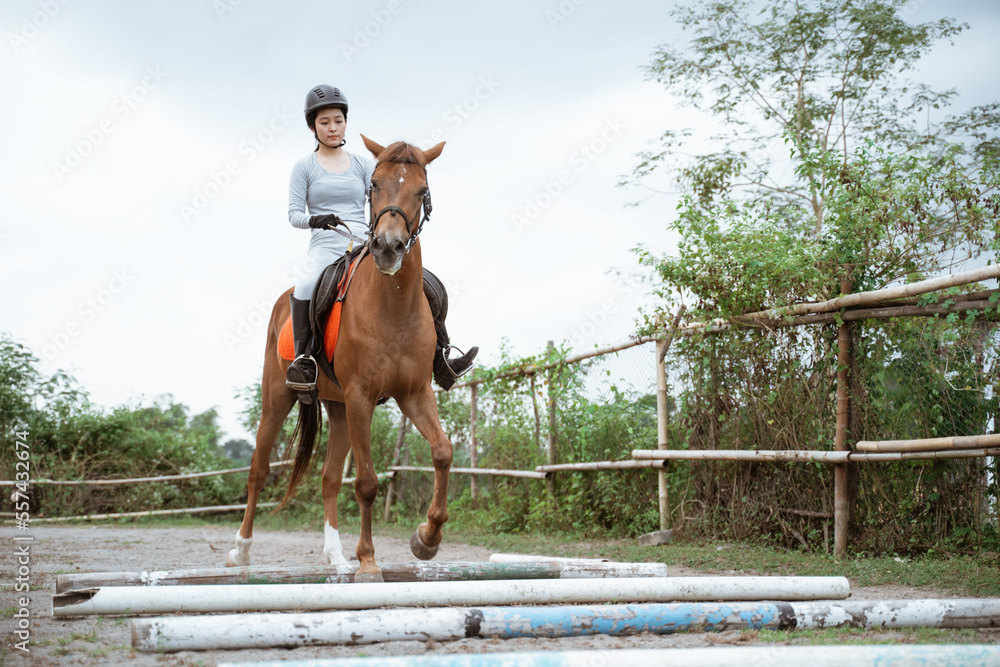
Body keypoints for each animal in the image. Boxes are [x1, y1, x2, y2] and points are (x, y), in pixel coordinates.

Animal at [227, 137, 454, 584]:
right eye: (374, 186)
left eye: (422, 190)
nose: (388, 248)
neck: (392, 306)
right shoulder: (362, 397)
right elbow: (366, 482)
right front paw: (368, 562)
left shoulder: (414, 393)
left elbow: (442, 452)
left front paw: (426, 539)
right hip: (279, 400)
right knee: (258, 470)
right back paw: (241, 552)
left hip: (339, 409)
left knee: (329, 478)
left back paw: (335, 558)